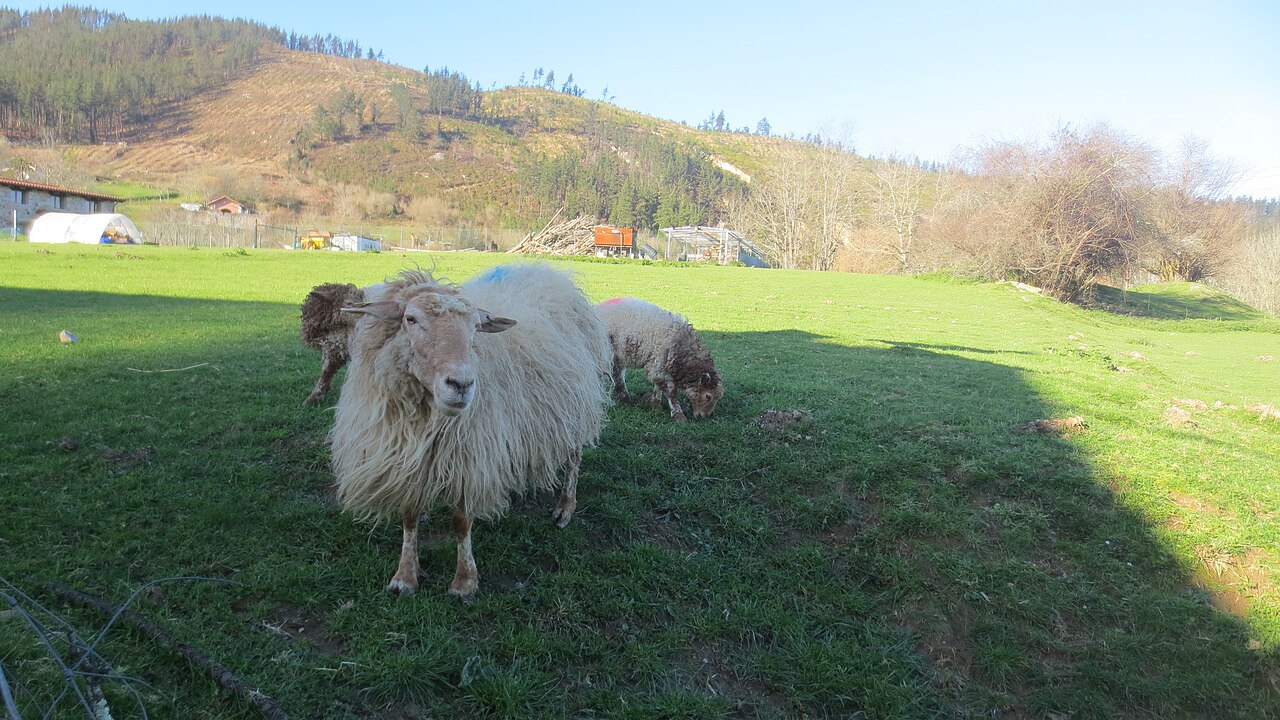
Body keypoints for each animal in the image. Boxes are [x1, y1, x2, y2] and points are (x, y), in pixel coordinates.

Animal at [329, 264, 612, 597]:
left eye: (476, 327)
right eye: (410, 319)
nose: (461, 384)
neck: (426, 416)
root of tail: (547, 273)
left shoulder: (470, 456)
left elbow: (461, 522)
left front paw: (464, 581)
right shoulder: (406, 459)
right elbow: (409, 517)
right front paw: (405, 576)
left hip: (575, 407)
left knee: (574, 458)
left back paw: (565, 508)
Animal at [595, 297, 723, 422]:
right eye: (708, 396)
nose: (705, 417)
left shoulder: (658, 367)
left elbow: (658, 387)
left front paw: (655, 405)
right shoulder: (659, 366)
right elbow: (671, 393)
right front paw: (678, 415)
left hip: (617, 358)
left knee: (617, 376)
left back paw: (625, 399)